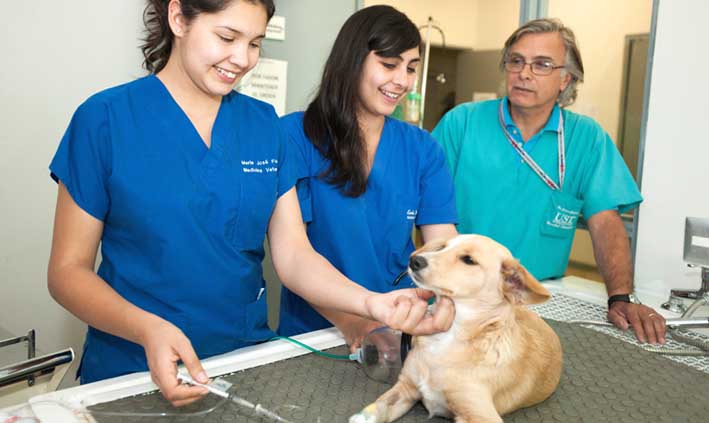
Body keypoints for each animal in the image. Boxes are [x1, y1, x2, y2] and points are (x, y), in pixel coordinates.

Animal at [348, 235, 560, 423]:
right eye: (442, 247)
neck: (447, 339)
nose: (414, 260)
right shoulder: (405, 388)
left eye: (469, 260)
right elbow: (379, 407)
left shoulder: (479, 414)